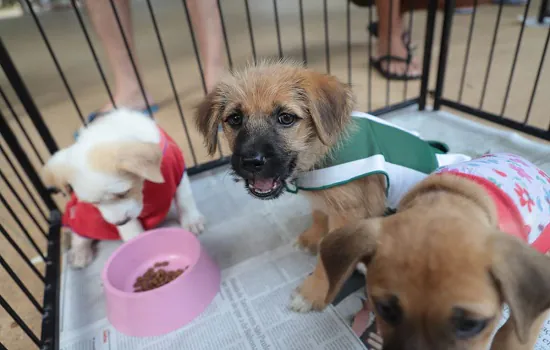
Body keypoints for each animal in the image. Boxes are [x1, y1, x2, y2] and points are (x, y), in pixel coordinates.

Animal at [43, 109, 206, 268]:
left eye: (124, 193)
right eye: (94, 203)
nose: (119, 223)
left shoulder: (178, 173)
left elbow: (184, 200)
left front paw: (192, 221)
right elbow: (132, 229)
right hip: (83, 218)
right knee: (79, 235)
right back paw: (80, 253)